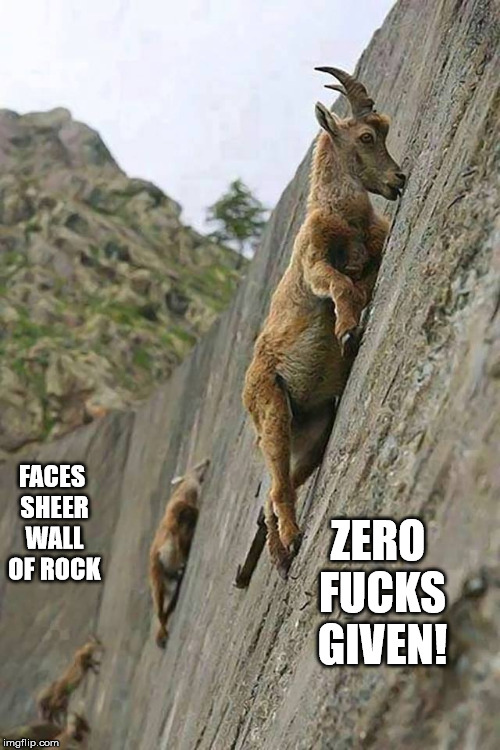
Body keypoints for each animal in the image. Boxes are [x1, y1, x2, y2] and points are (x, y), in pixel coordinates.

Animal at [243, 67, 405, 578]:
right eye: (367, 135)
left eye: (385, 129)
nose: (399, 179)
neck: (342, 216)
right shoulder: (313, 265)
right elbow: (340, 286)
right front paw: (348, 331)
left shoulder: (374, 246)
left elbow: (362, 280)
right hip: (273, 410)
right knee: (277, 488)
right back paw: (291, 544)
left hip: (313, 429)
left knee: (276, 494)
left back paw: (277, 553)